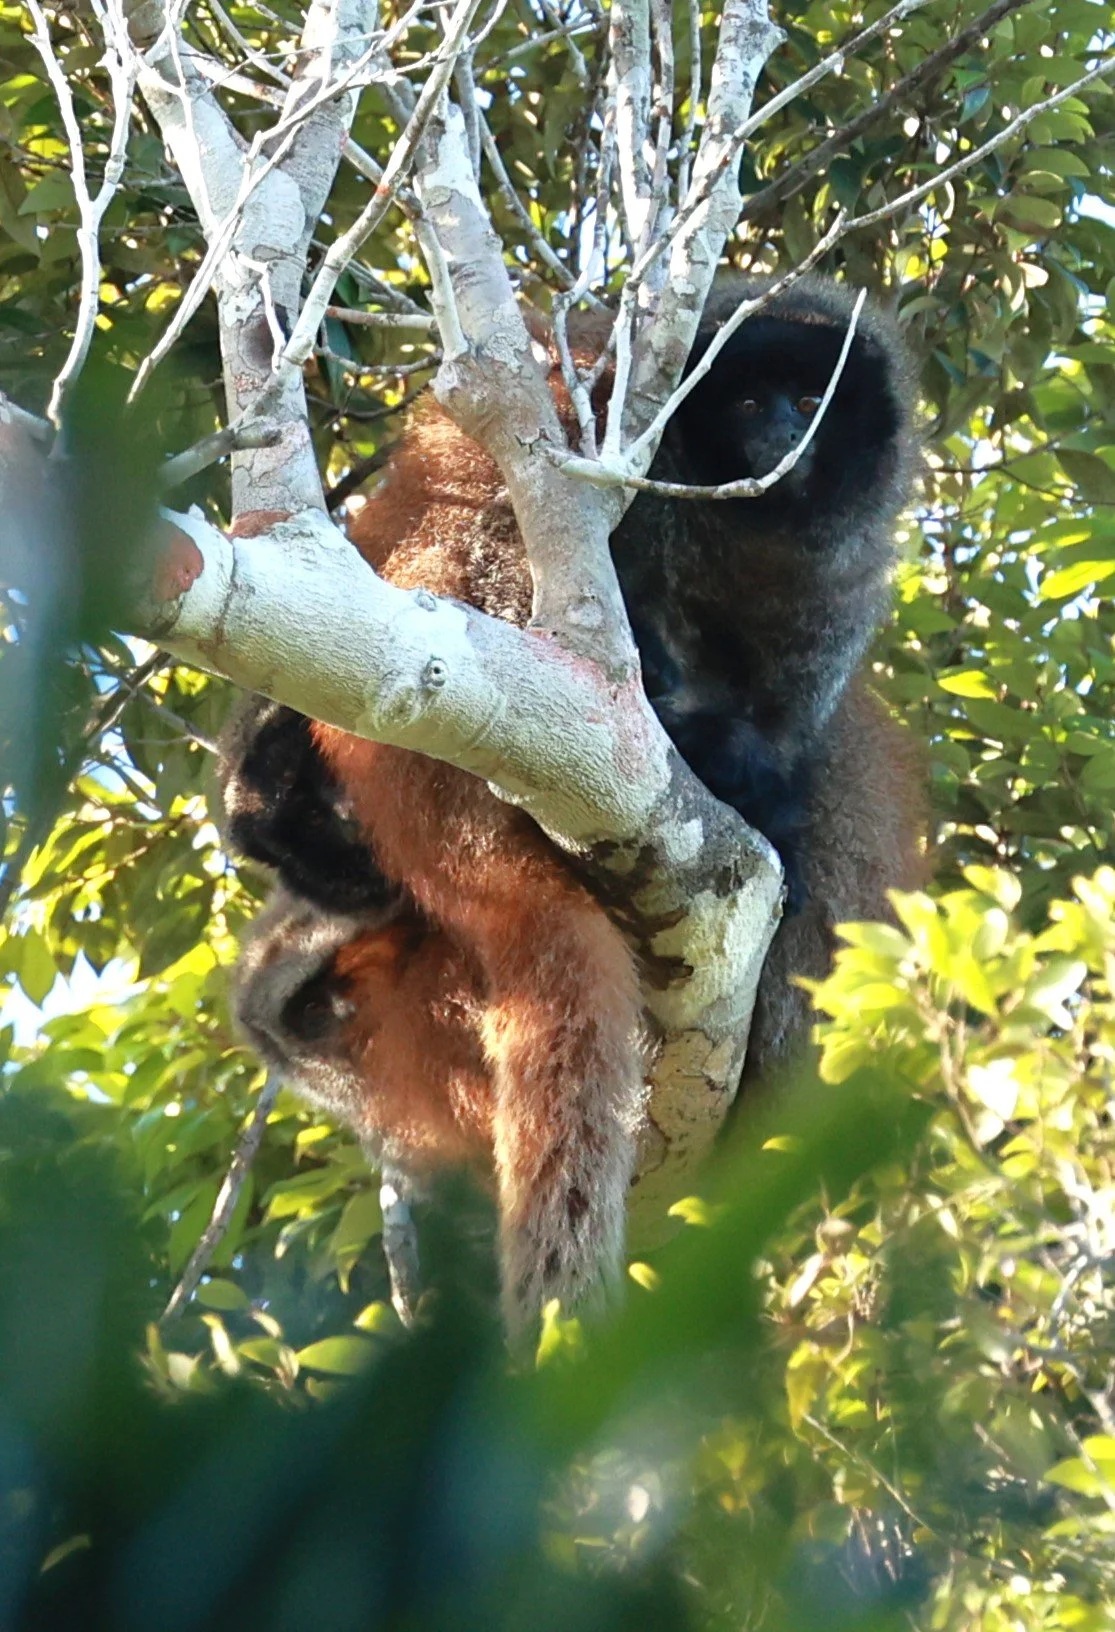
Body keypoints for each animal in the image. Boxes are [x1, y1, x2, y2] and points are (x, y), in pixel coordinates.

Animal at [219, 274, 926, 1336]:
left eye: (809, 399)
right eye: (748, 402)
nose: (781, 433)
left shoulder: (837, 573)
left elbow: (791, 717)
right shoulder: (603, 419)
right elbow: (518, 542)